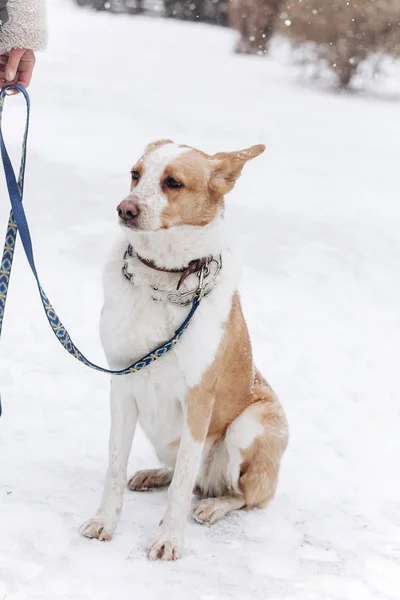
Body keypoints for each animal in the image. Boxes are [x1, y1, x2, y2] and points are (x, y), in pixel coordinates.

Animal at [80, 141, 288, 564]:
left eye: (173, 182)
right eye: (136, 174)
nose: (125, 209)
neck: (163, 278)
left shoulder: (198, 401)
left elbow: (180, 490)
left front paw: (169, 539)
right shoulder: (121, 386)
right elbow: (114, 467)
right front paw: (105, 521)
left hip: (251, 425)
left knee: (239, 494)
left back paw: (213, 505)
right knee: (184, 474)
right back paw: (155, 475)